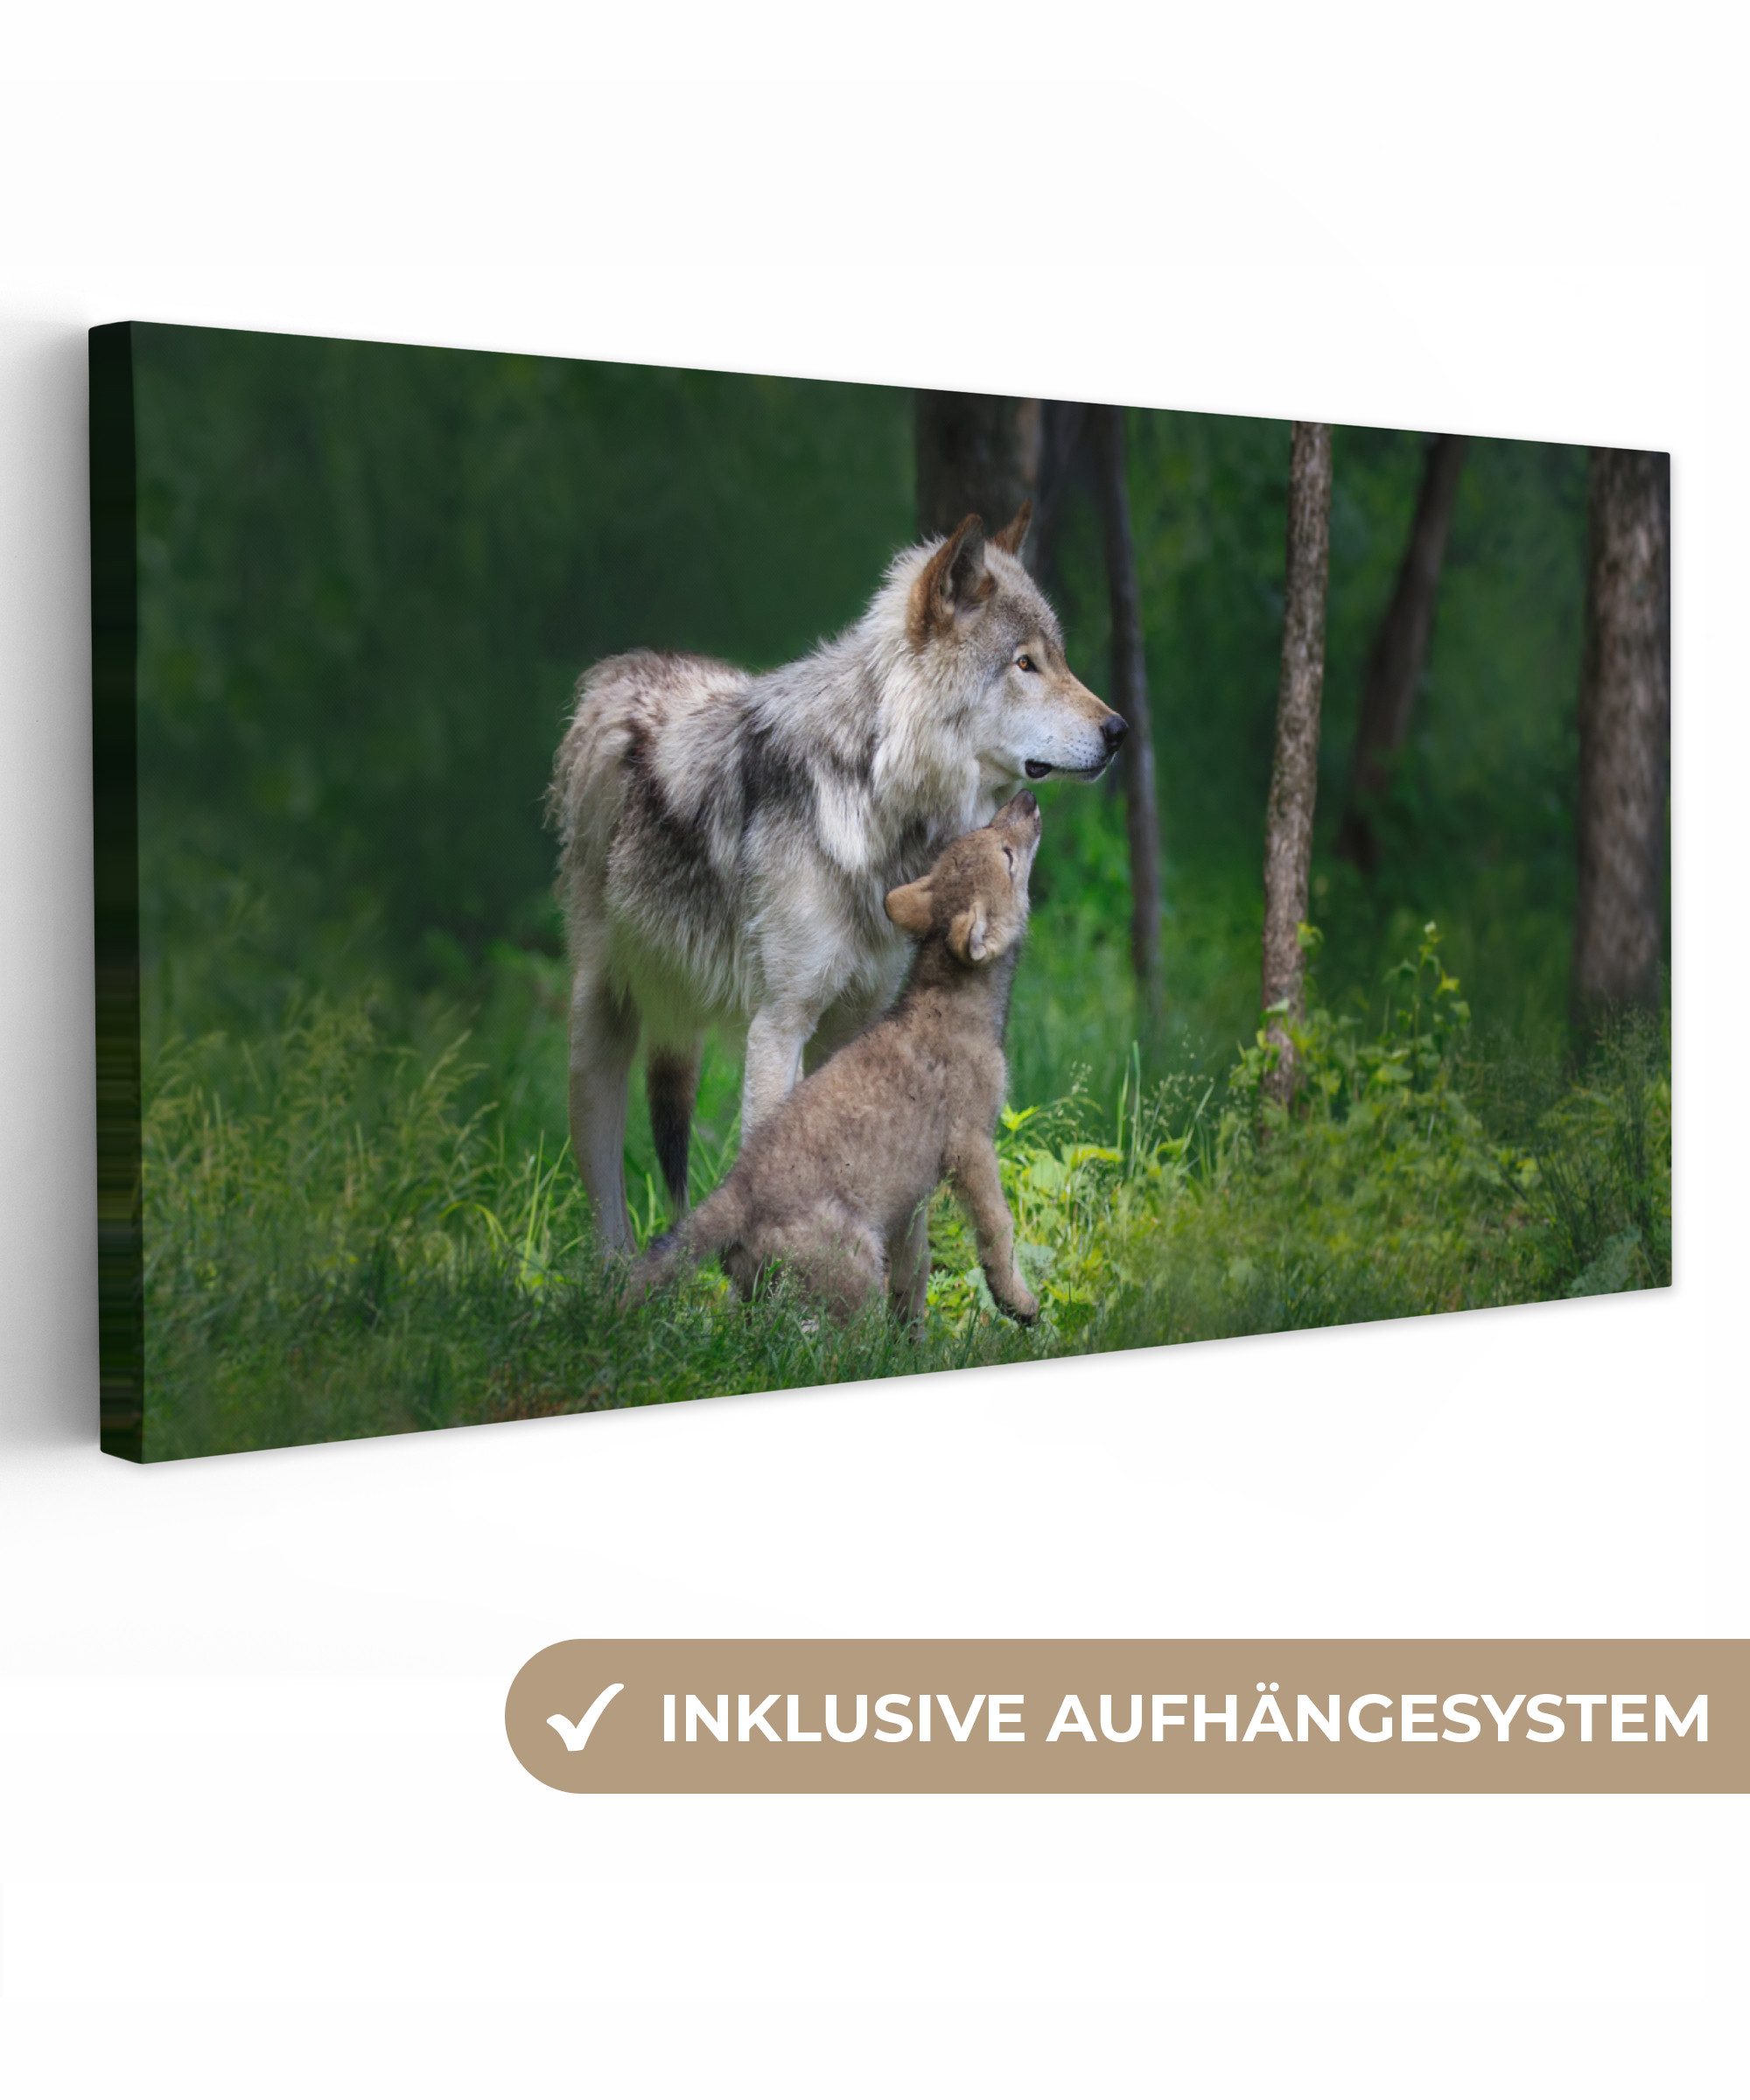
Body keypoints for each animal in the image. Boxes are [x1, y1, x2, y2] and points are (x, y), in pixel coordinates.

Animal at [548, 503, 1125, 1255]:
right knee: (608, 1203)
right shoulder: (779, 1025)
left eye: (1058, 657)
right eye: (1024, 664)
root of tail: (621, 669)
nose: (1119, 730)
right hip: (600, 1030)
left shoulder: (856, 1024)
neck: (875, 793)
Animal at [626, 792, 1045, 1324]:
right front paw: (1018, 1302)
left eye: (988, 831)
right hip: (857, 1277)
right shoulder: (970, 1146)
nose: (1027, 800)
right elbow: (998, 1229)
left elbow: (915, 1271)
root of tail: (737, 1190)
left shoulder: (910, 1199)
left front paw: (913, 1337)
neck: (953, 1002)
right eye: (1007, 855)